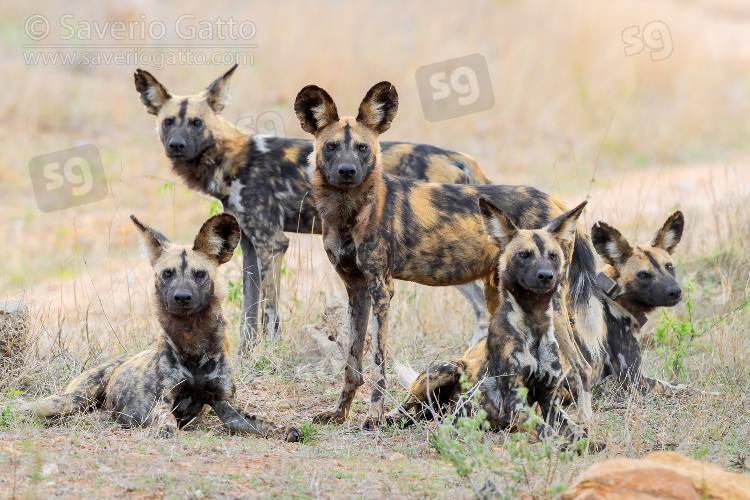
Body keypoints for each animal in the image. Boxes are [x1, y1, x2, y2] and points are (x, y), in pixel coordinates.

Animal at [26, 214, 302, 442]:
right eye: (167, 274)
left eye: (200, 274)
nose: (182, 297)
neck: (192, 340)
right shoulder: (164, 400)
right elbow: (165, 418)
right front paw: (166, 430)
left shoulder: (227, 406)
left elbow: (261, 421)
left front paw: (284, 429)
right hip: (70, 401)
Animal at [135, 64, 494, 350]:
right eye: (168, 122)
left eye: (196, 123)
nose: (176, 145)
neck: (233, 159)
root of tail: (457, 157)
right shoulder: (250, 244)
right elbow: (249, 314)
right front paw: (246, 355)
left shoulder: (272, 244)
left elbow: (269, 312)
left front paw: (271, 353)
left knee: (482, 309)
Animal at [294, 80, 604, 428]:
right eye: (331, 147)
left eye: (362, 148)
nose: (347, 171)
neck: (350, 210)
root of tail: (558, 204)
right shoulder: (356, 289)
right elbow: (352, 365)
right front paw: (339, 413)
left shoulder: (381, 289)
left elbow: (378, 365)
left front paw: (373, 419)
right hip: (500, 295)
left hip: (551, 300)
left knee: (581, 367)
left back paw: (583, 425)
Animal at [388, 199, 604, 454]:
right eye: (524, 255)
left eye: (553, 256)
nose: (546, 275)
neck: (534, 321)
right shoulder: (514, 406)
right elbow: (547, 432)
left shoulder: (551, 402)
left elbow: (576, 431)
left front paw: (588, 441)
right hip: (445, 370)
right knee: (406, 409)